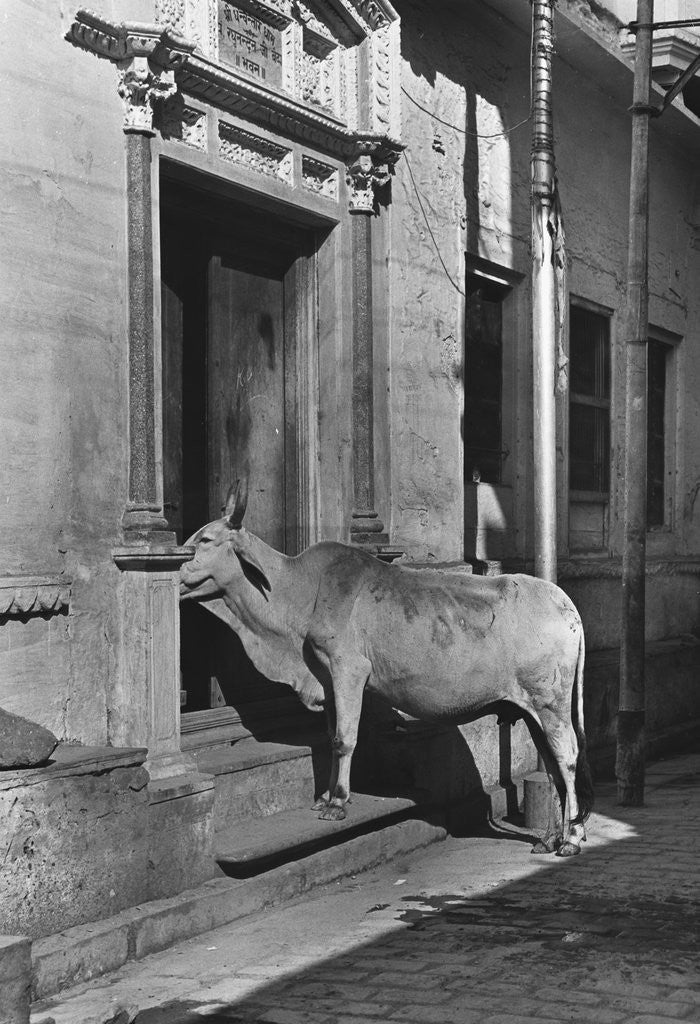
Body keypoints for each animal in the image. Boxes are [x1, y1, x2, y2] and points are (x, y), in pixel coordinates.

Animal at [180, 483, 594, 857]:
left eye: (206, 539)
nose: (174, 569)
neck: (302, 594)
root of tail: (566, 604)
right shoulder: (328, 681)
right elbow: (330, 735)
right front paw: (325, 796)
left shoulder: (347, 670)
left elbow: (344, 738)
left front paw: (337, 803)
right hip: (532, 709)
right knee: (553, 766)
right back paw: (551, 837)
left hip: (550, 703)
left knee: (568, 756)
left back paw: (571, 839)